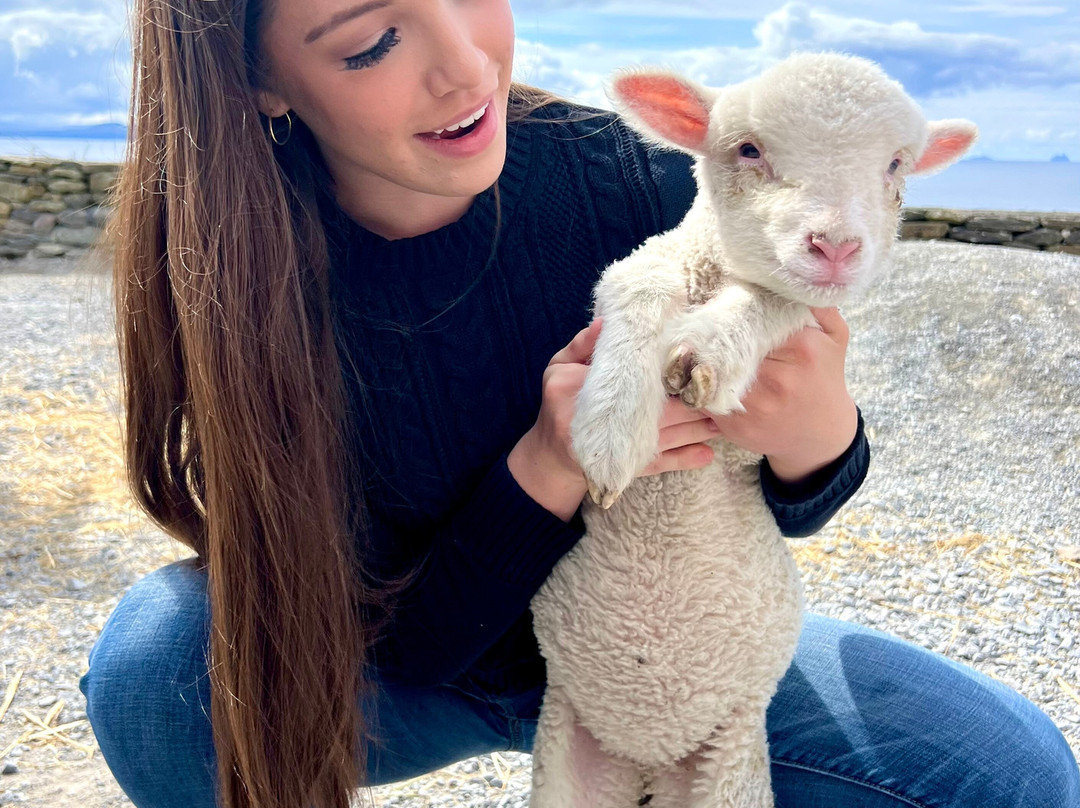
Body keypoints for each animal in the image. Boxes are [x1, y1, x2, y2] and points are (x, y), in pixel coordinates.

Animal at [528, 52, 977, 808]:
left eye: (895, 164)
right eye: (748, 150)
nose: (836, 247)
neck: (711, 274)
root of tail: (647, 758)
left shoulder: (803, 315)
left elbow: (774, 300)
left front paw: (708, 350)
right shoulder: (647, 263)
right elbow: (634, 286)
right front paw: (611, 428)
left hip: (732, 765)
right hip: (564, 755)